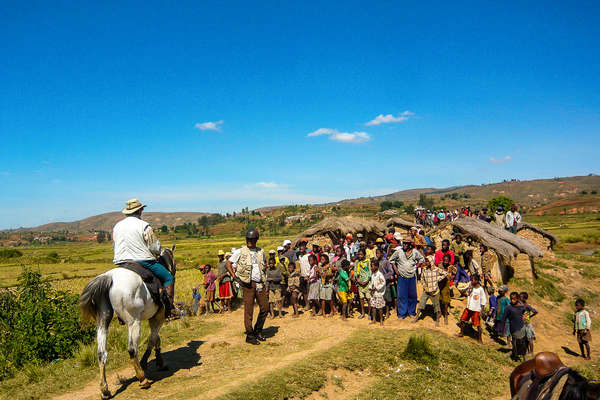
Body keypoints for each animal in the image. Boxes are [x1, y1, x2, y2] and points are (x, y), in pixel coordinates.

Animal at [79, 245, 176, 398]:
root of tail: (109, 278)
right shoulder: (158, 317)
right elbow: (153, 339)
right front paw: (147, 362)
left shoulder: (154, 317)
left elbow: (156, 338)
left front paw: (160, 361)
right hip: (134, 321)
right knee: (132, 349)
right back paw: (142, 378)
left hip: (102, 321)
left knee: (101, 353)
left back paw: (105, 390)